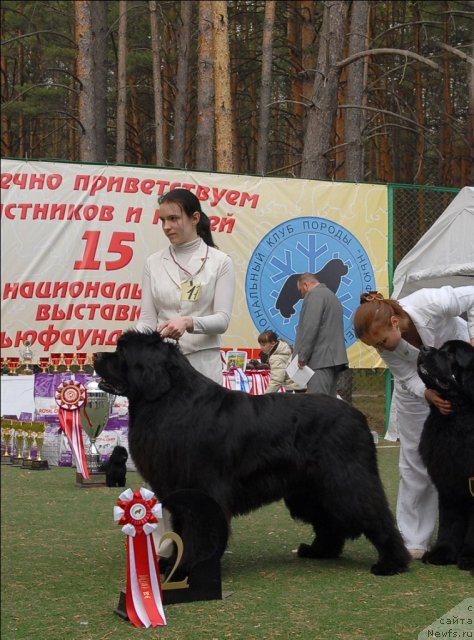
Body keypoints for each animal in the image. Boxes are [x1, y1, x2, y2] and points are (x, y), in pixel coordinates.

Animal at [94, 332, 410, 576]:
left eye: (121, 351)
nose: (96, 355)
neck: (169, 399)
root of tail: (358, 417)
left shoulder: (200, 488)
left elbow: (198, 530)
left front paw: (187, 566)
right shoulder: (180, 489)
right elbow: (183, 529)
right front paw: (173, 561)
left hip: (346, 480)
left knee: (374, 514)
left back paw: (392, 563)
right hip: (309, 489)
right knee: (329, 520)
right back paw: (319, 550)